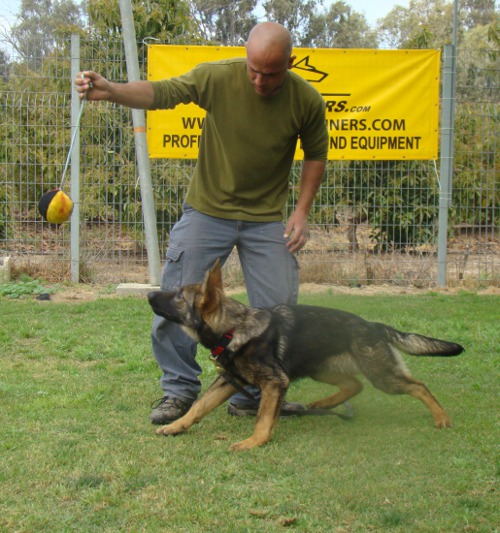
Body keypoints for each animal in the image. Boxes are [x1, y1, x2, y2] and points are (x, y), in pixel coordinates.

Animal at [148, 260, 464, 450]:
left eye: (179, 296)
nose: (150, 295)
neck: (233, 328)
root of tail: (372, 326)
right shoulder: (228, 381)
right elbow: (199, 407)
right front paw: (175, 427)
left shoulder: (275, 383)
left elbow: (263, 417)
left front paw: (254, 442)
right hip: (321, 369)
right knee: (354, 384)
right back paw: (325, 403)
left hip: (382, 376)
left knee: (418, 386)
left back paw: (441, 417)